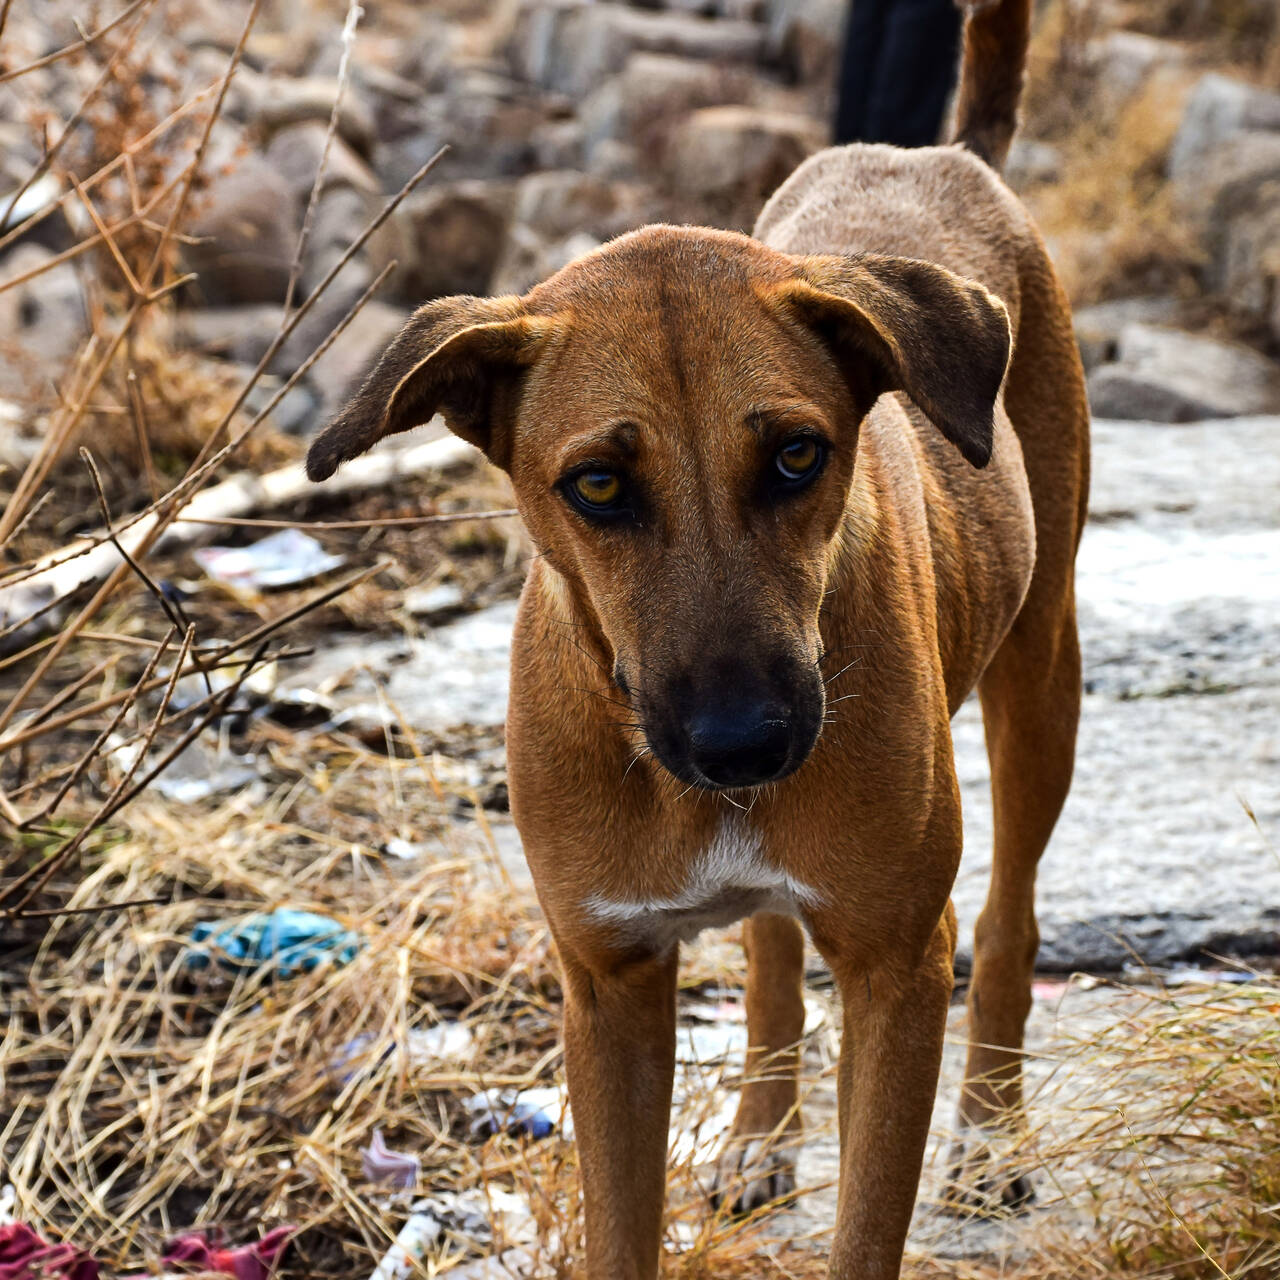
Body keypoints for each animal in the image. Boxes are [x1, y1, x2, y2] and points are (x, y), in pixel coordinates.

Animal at [304, 5, 1085, 1274]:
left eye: (796, 455)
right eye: (597, 483)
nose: (742, 743)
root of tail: (944, 154)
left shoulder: (895, 968)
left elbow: (868, 1220)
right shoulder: (608, 983)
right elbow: (622, 1220)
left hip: (1040, 671)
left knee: (1006, 919)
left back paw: (989, 1131)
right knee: (769, 956)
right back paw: (761, 1130)